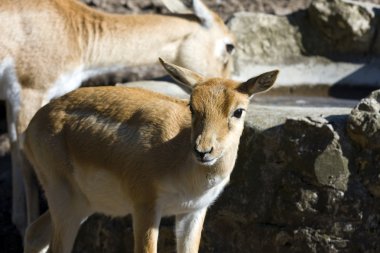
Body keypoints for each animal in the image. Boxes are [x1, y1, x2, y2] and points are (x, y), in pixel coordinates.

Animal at [0, 0, 235, 236]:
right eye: (229, 45)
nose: (226, 83)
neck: (75, 33)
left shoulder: (13, 100)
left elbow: (14, 148)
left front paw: (18, 220)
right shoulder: (30, 91)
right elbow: (24, 160)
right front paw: (24, 225)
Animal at [24, 58, 280, 252]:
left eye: (238, 111)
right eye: (192, 106)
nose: (203, 150)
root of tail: (32, 125)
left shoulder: (192, 211)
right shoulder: (145, 207)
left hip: (83, 204)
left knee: (34, 233)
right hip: (65, 199)